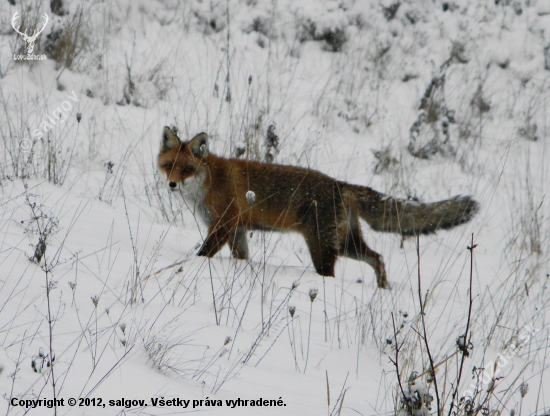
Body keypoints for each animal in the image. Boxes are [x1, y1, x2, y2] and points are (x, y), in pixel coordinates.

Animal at [157, 128, 480, 288]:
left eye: (187, 169)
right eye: (168, 166)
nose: (172, 185)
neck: (208, 182)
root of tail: (341, 184)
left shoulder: (222, 225)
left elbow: (202, 254)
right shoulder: (237, 230)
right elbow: (242, 258)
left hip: (322, 249)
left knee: (336, 272)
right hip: (346, 244)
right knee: (378, 257)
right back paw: (382, 288)